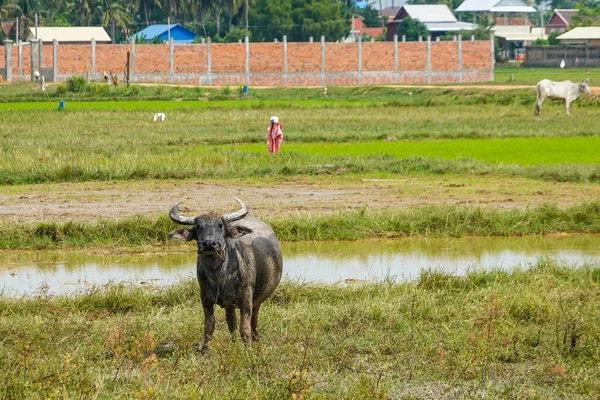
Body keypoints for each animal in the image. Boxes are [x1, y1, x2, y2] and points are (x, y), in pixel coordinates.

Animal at [168, 198, 282, 352]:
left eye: (220, 225)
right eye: (198, 227)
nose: (209, 244)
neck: (219, 276)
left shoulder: (246, 299)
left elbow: (244, 329)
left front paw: (248, 350)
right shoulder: (205, 299)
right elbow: (209, 327)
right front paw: (203, 351)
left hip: (258, 300)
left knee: (253, 322)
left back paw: (256, 341)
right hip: (229, 305)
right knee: (231, 323)